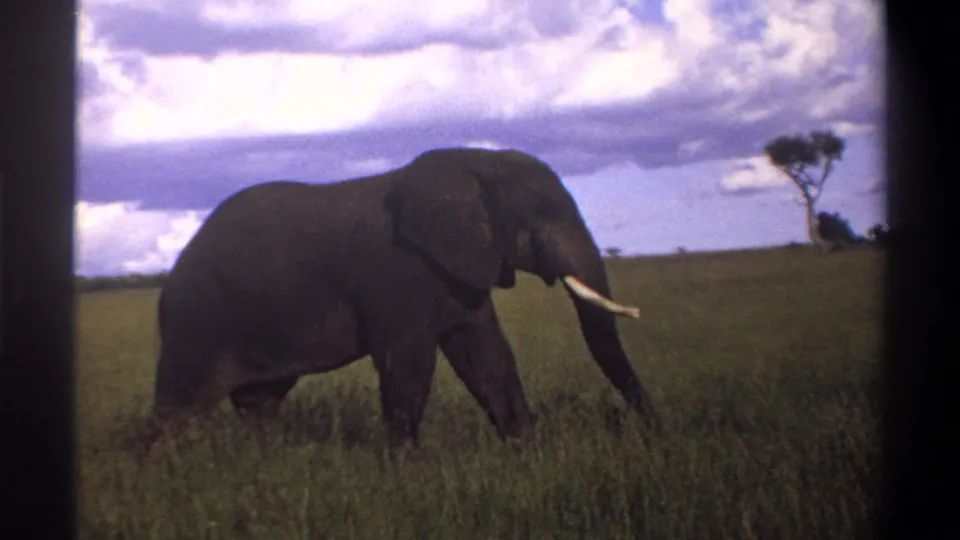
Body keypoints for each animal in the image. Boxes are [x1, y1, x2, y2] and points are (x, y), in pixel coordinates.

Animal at [152, 147, 658, 449]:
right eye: (541, 215)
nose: (652, 427)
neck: (475, 162)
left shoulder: (460, 270)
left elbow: (486, 356)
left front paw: (526, 452)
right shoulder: (399, 274)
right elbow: (409, 363)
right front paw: (405, 472)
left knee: (259, 400)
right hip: (195, 318)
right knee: (178, 404)